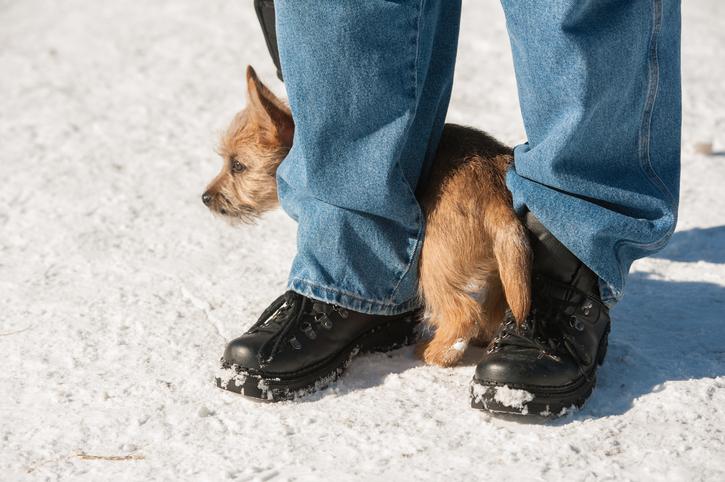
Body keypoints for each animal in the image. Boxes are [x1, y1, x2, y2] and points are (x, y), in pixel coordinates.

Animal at [201, 66, 528, 368]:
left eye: (238, 165)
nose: (205, 198)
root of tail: (495, 189)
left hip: (435, 263)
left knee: (463, 312)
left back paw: (437, 353)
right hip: (499, 266)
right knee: (495, 305)